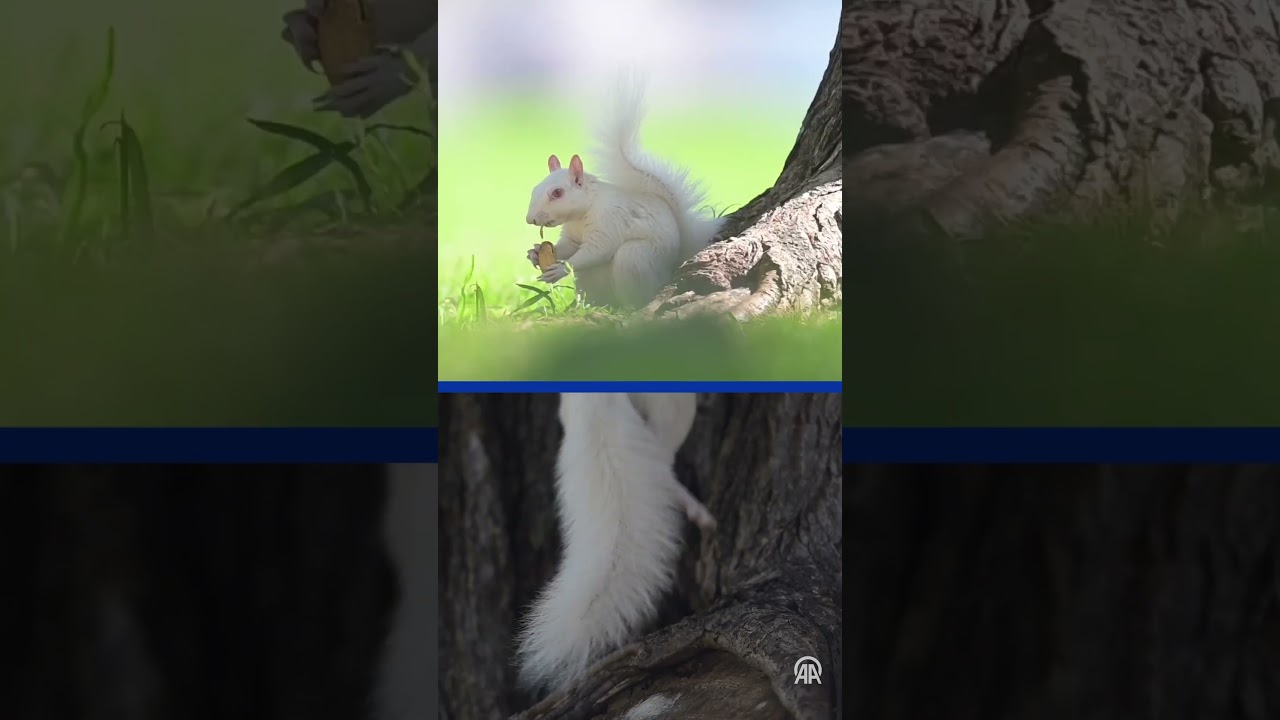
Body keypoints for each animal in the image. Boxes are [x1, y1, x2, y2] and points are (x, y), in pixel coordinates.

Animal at [524, 73, 726, 308]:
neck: (583, 212)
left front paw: (561, 268)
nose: (530, 219)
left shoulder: (609, 222)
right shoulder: (573, 235)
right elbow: (566, 246)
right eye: (534, 189)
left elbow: (596, 251)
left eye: (557, 193)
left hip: (635, 258)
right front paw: (535, 253)